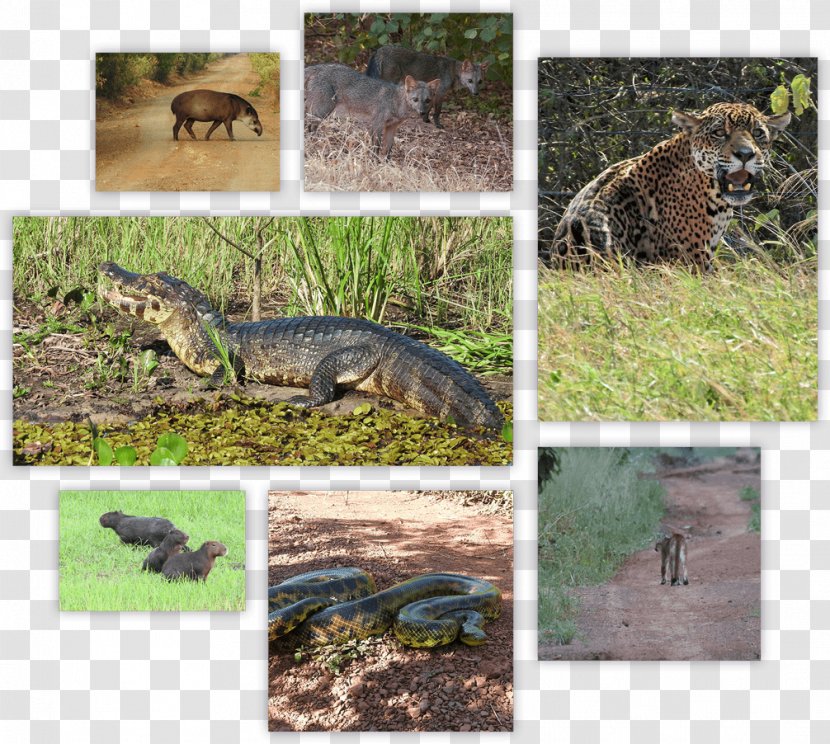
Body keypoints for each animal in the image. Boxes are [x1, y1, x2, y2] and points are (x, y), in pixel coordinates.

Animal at [302, 62, 438, 158]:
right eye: (415, 100)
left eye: (427, 101)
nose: (422, 112)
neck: (395, 102)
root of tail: (318, 66)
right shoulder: (376, 124)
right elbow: (376, 147)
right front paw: (374, 162)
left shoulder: (391, 127)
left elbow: (388, 148)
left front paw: (386, 165)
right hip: (323, 112)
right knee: (310, 128)